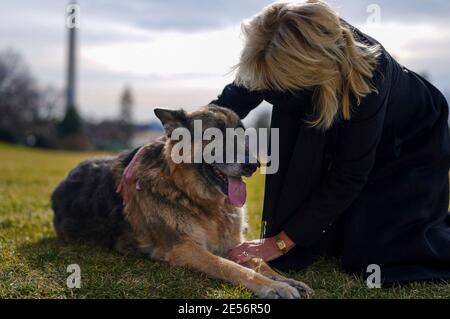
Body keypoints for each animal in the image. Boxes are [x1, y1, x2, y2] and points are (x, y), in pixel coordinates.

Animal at [51, 105, 312, 300]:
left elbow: (260, 262)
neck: (192, 196)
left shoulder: (233, 244)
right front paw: (274, 287)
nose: (253, 165)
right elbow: (233, 268)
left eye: (242, 135)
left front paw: (287, 280)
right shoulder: (185, 249)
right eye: (215, 135)